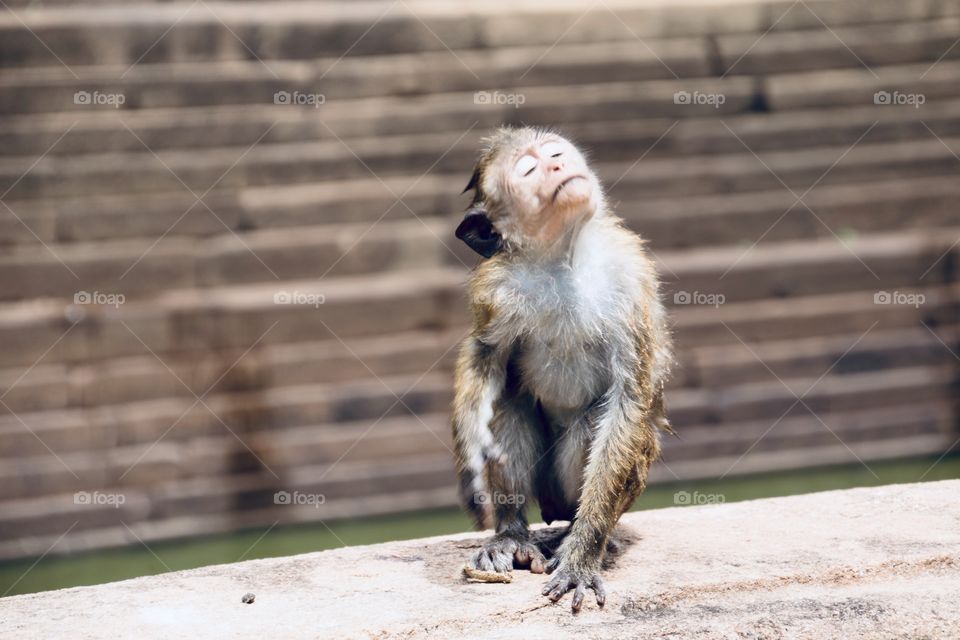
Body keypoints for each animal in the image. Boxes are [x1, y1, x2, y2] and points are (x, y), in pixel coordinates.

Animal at [451, 126, 673, 612]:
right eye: (527, 169)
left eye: (555, 152)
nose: (556, 165)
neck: (562, 256)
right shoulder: (495, 285)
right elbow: (484, 353)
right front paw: (474, 453)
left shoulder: (631, 277)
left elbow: (629, 398)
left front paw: (582, 557)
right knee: (507, 400)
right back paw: (511, 532)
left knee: (595, 424)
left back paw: (579, 533)